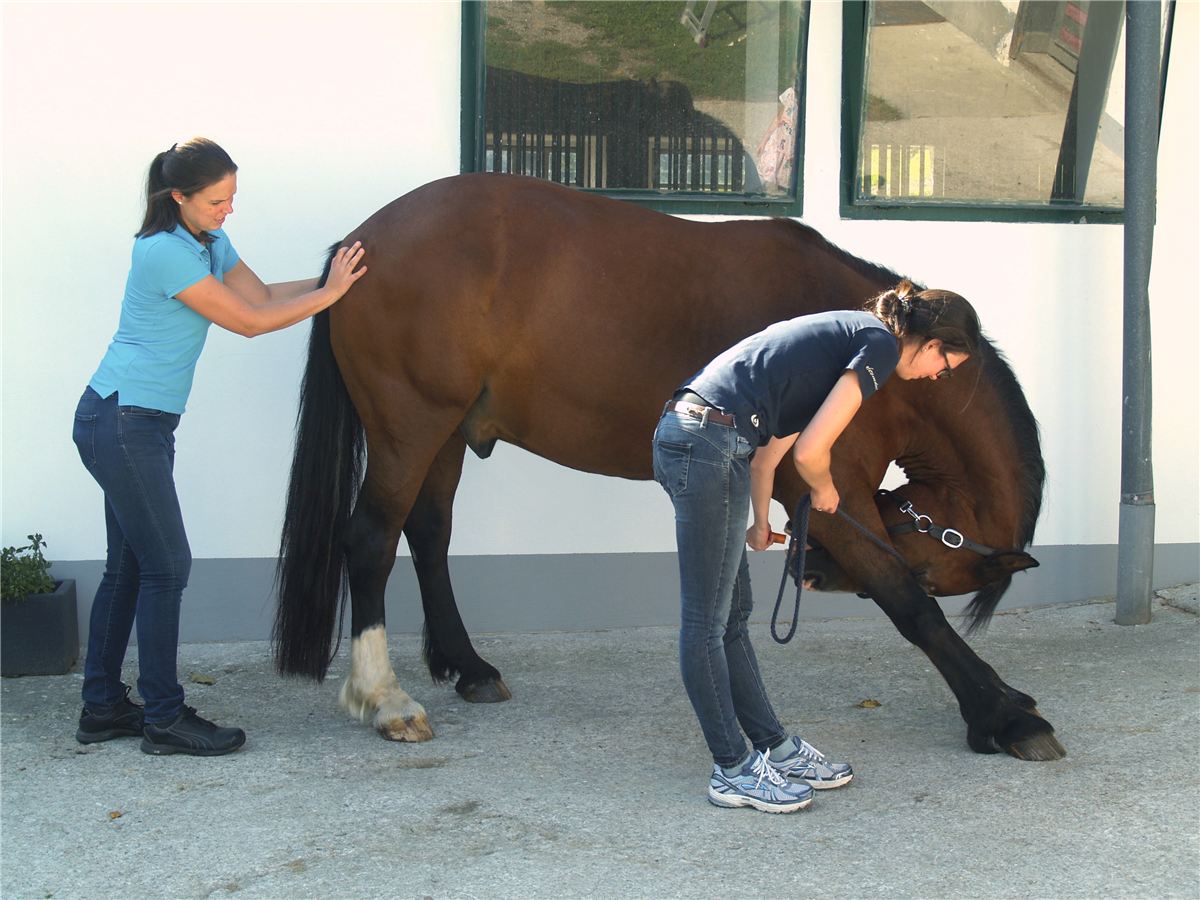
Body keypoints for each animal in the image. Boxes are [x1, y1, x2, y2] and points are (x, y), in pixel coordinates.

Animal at [274, 173, 1065, 762]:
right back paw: (386, 699)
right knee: (371, 541)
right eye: (937, 565)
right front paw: (1004, 712)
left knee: (429, 535)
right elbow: (909, 605)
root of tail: (362, 244)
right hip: (410, 427)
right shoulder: (827, 493)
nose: (808, 571)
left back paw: (469, 667)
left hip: (441, 434)